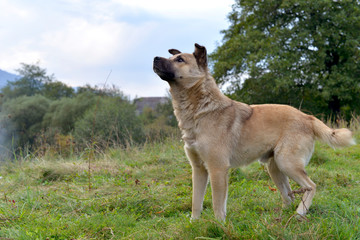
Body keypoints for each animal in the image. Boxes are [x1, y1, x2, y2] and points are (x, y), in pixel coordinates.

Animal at [152, 43, 354, 221]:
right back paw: (282, 218)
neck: (201, 109)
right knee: (289, 196)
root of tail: (307, 117)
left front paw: (219, 226)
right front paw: (194, 223)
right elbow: (196, 202)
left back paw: (299, 214)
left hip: (287, 163)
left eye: (180, 59)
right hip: (275, 168)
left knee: (311, 186)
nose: (154, 58)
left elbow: (217, 205)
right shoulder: (199, 169)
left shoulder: (218, 169)